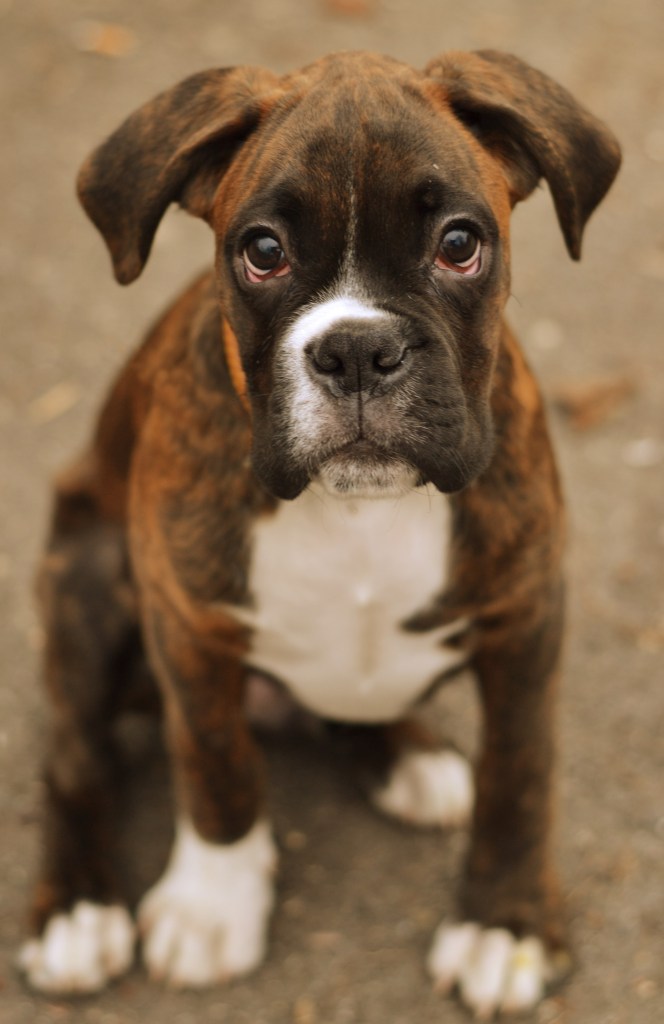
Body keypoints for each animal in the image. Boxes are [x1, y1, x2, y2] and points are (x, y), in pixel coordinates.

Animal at [18, 49, 623, 1015]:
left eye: (461, 243)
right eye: (264, 252)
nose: (357, 351)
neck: (358, 511)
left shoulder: (527, 617)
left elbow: (521, 776)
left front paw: (506, 924)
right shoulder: (189, 626)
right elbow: (216, 766)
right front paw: (215, 904)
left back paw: (409, 758)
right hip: (86, 575)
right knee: (76, 758)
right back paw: (76, 910)